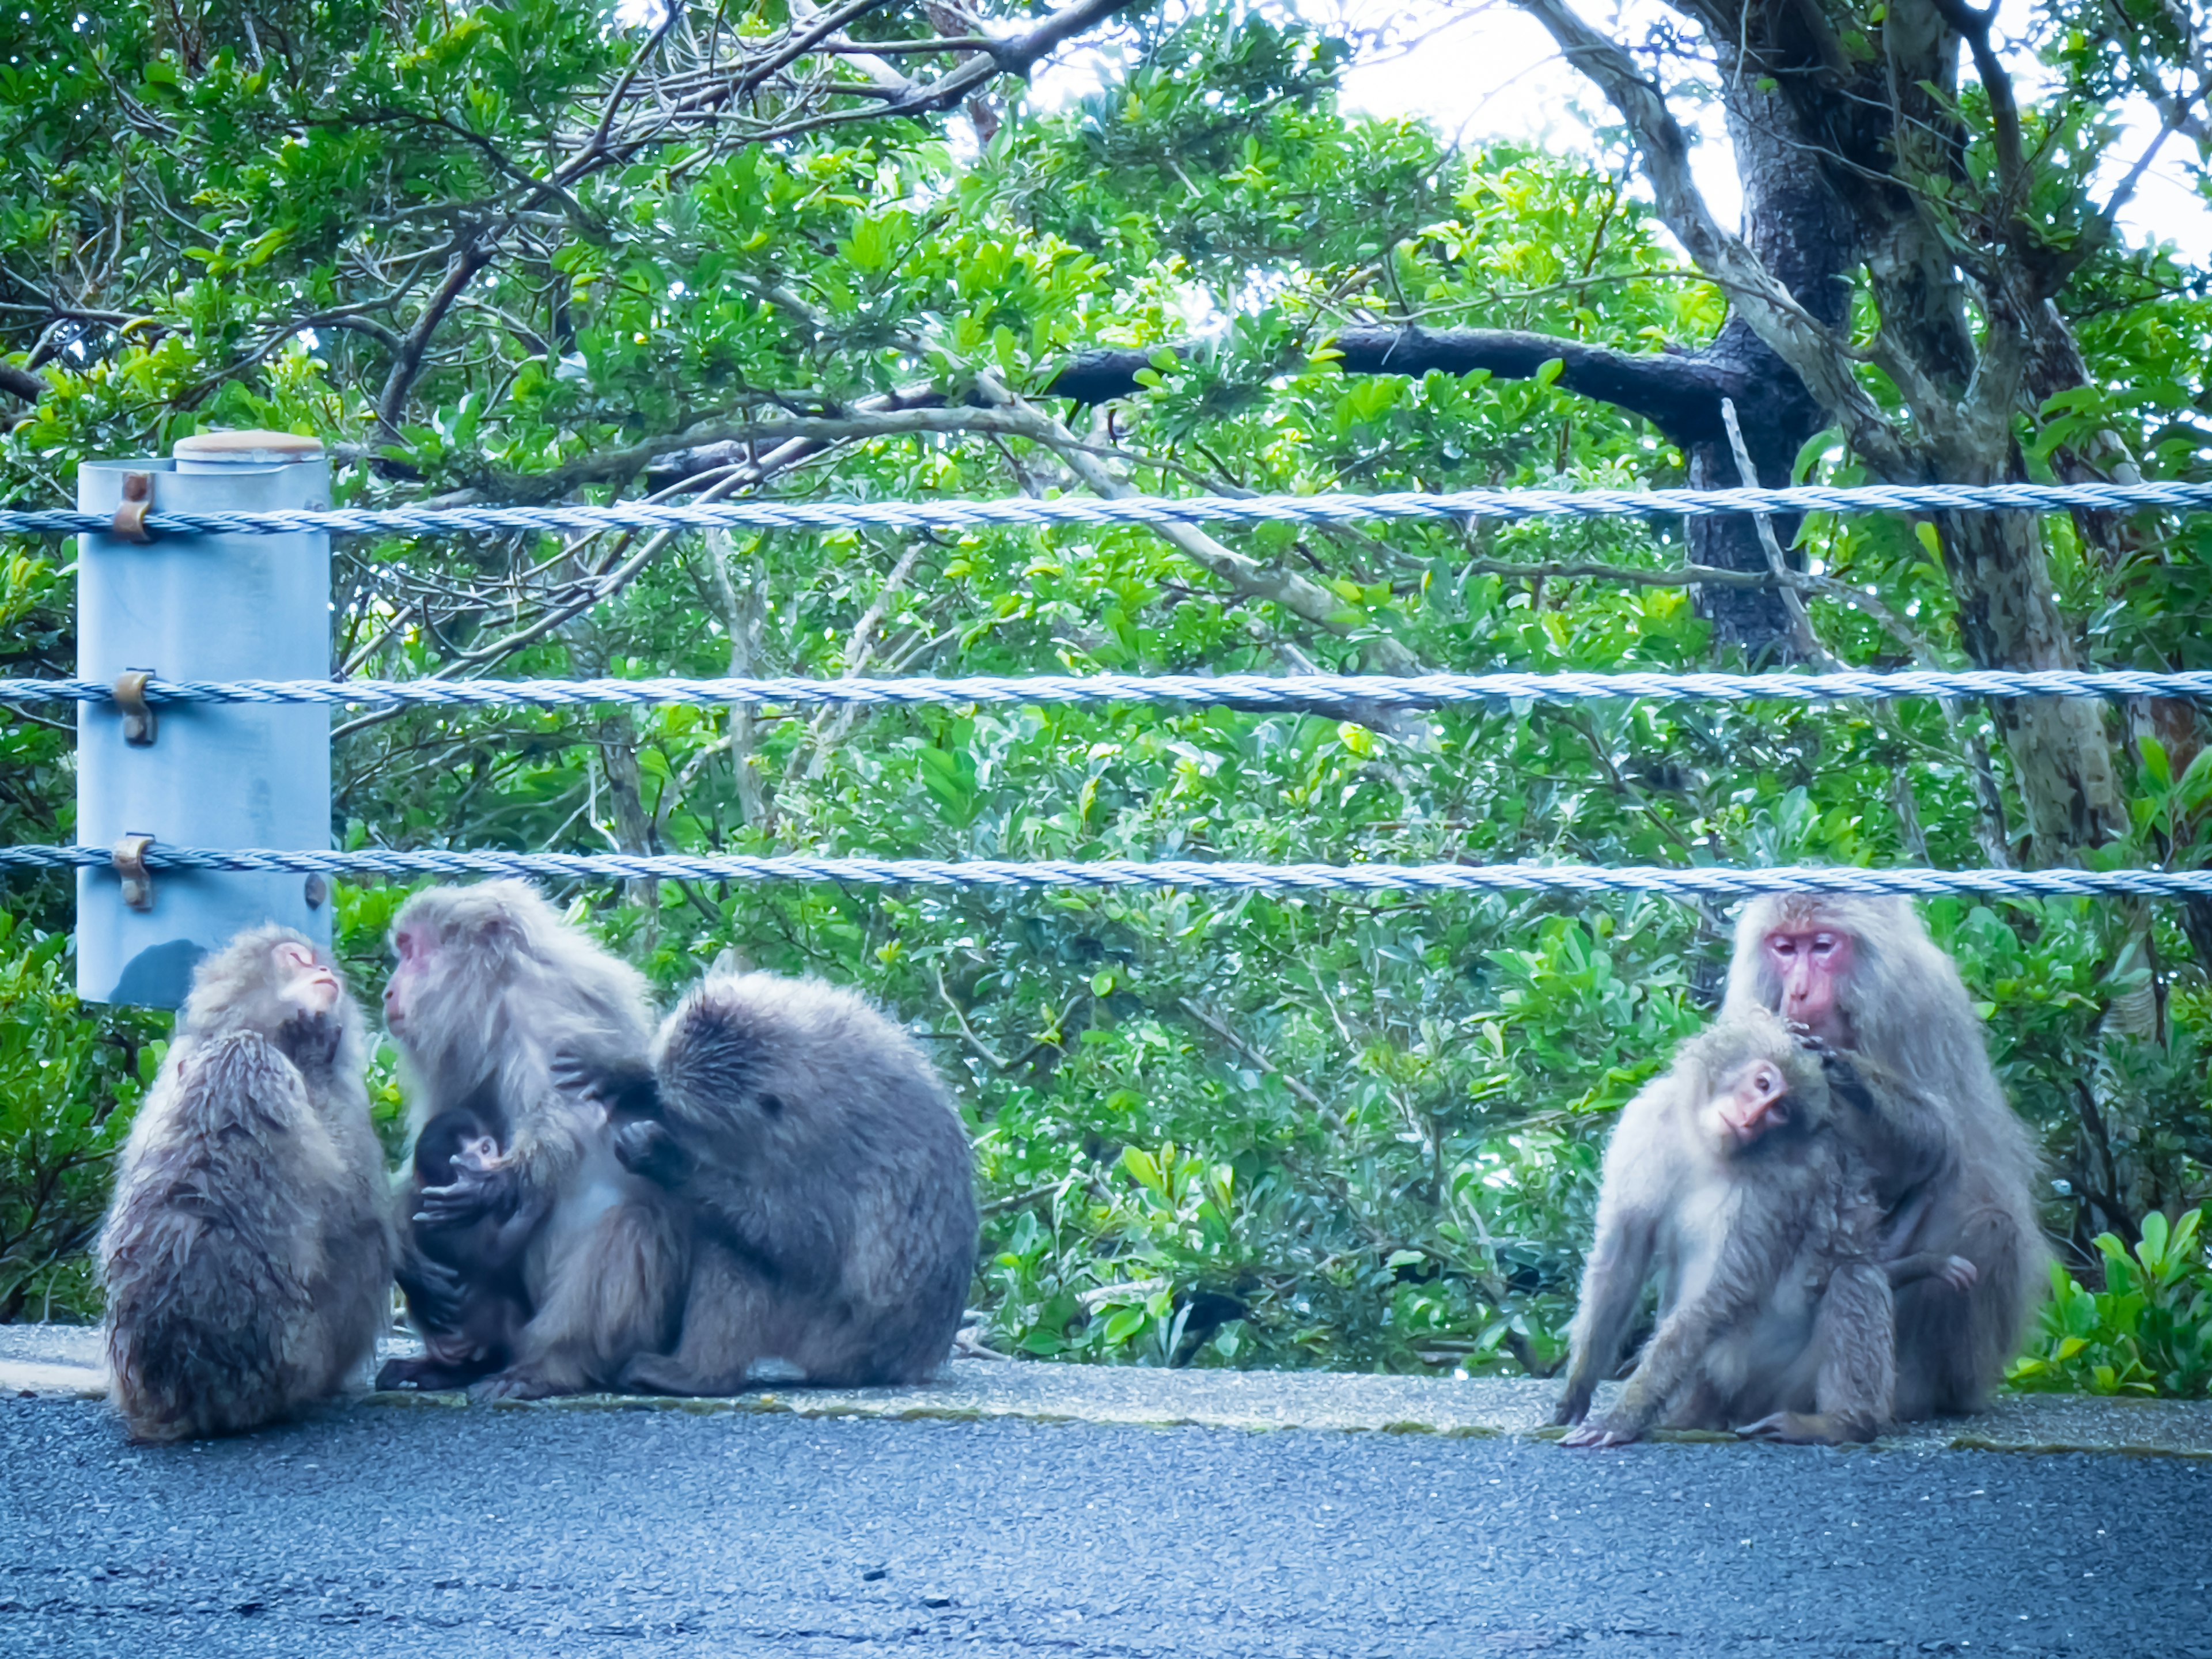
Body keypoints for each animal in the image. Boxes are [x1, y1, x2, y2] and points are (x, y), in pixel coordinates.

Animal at [372, 885, 685, 1407]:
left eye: (412, 950)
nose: (388, 991)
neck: (494, 994)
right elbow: (429, 1154)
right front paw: (409, 1263)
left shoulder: (539, 1011)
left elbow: (564, 1120)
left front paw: (499, 1182)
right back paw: (452, 1366)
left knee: (627, 1221)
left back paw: (554, 1364)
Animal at [553, 968, 978, 1397]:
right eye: (665, 1099)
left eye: (688, 1120)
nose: (658, 1106)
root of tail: (908, 1362)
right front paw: (626, 1074)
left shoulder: (825, 1152)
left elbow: (806, 1246)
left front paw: (666, 1160)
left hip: (836, 1338)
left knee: (739, 1253)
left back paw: (699, 1376)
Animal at [1557, 1009, 1973, 1451]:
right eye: (1763, 1084)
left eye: (1781, 1111)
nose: (1750, 1118)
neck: (1704, 1147)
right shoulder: (1643, 1127)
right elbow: (1622, 1257)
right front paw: (1578, 1386)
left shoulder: (1781, 1185)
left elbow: (1723, 1293)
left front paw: (1625, 1413)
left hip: (1779, 1386)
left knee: (1853, 1276)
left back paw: (1842, 1424)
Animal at [1716, 898, 2044, 1415]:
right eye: (1785, 949)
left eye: (1822, 946)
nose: (1799, 990)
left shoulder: (1921, 1004)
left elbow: (1943, 1140)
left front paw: (1848, 1078)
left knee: (1992, 1226)